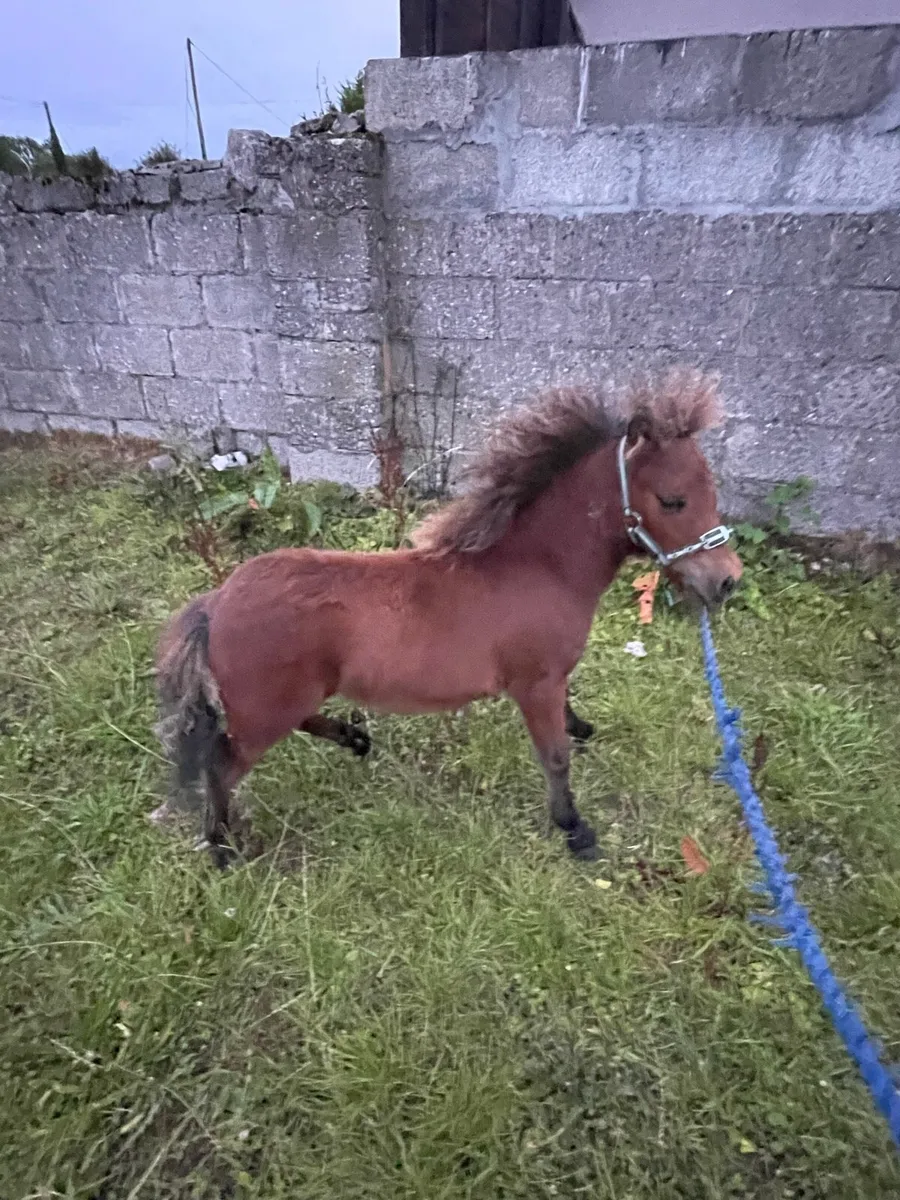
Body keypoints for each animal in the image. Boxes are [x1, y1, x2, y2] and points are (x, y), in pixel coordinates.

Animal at [153, 368, 742, 868]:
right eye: (672, 500)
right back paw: (221, 848)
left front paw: (582, 730)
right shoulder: (535, 684)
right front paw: (575, 830)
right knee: (221, 764)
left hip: (284, 699)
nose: (727, 580)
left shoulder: (551, 678)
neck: (539, 568)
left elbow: (567, 723)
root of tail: (216, 602)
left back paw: (354, 738)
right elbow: (554, 757)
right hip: (265, 712)